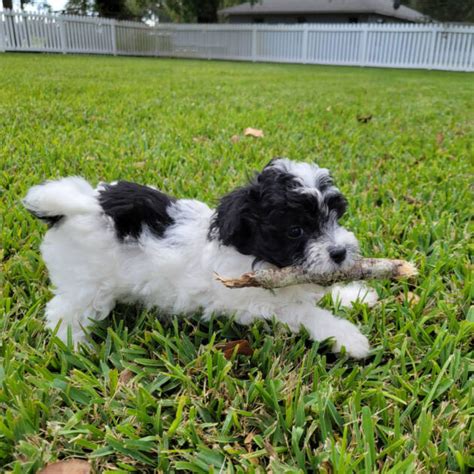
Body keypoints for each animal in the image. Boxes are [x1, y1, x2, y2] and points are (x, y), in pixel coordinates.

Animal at [24, 157, 378, 358]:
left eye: (335, 216)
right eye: (295, 231)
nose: (339, 252)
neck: (253, 253)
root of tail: (73, 207)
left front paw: (354, 294)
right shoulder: (252, 300)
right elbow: (304, 312)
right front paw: (348, 338)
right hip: (87, 284)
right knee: (63, 312)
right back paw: (74, 348)